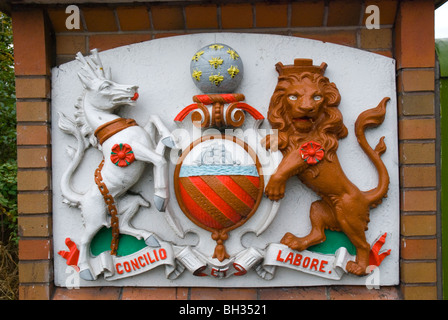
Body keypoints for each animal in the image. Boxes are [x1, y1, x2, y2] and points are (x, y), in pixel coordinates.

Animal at [262, 58, 388, 276]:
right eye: (293, 96)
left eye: (317, 97)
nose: (307, 109)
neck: (303, 130)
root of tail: (364, 196)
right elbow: (282, 137)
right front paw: (270, 140)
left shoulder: (310, 149)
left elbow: (287, 165)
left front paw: (274, 188)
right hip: (319, 207)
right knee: (320, 235)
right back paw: (295, 242)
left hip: (348, 216)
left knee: (363, 244)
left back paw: (358, 268)